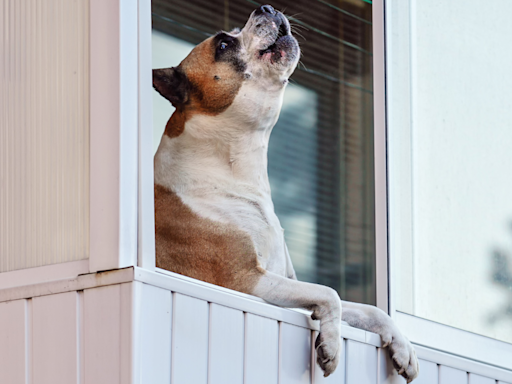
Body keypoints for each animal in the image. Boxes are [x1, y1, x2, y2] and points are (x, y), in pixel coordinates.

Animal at [152, 3, 416, 380]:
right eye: (222, 44)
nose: (266, 7)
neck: (235, 168)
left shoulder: (282, 282)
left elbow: (369, 309)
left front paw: (404, 348)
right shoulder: (246, 281)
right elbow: (330, 293)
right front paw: (331, 344)